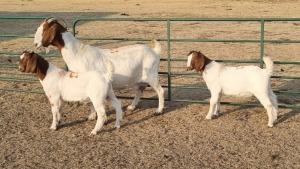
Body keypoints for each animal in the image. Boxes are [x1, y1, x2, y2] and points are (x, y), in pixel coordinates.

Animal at [34, 17, 164, 115]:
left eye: (44, 29)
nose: (35, 43)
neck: (78, 53)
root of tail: (155, 52)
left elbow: (91, 101)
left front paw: (92, 115)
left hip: (152, 76)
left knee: (160, 91)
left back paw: (158, 110)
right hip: (136, 79)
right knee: (139, 91)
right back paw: (131, 107)